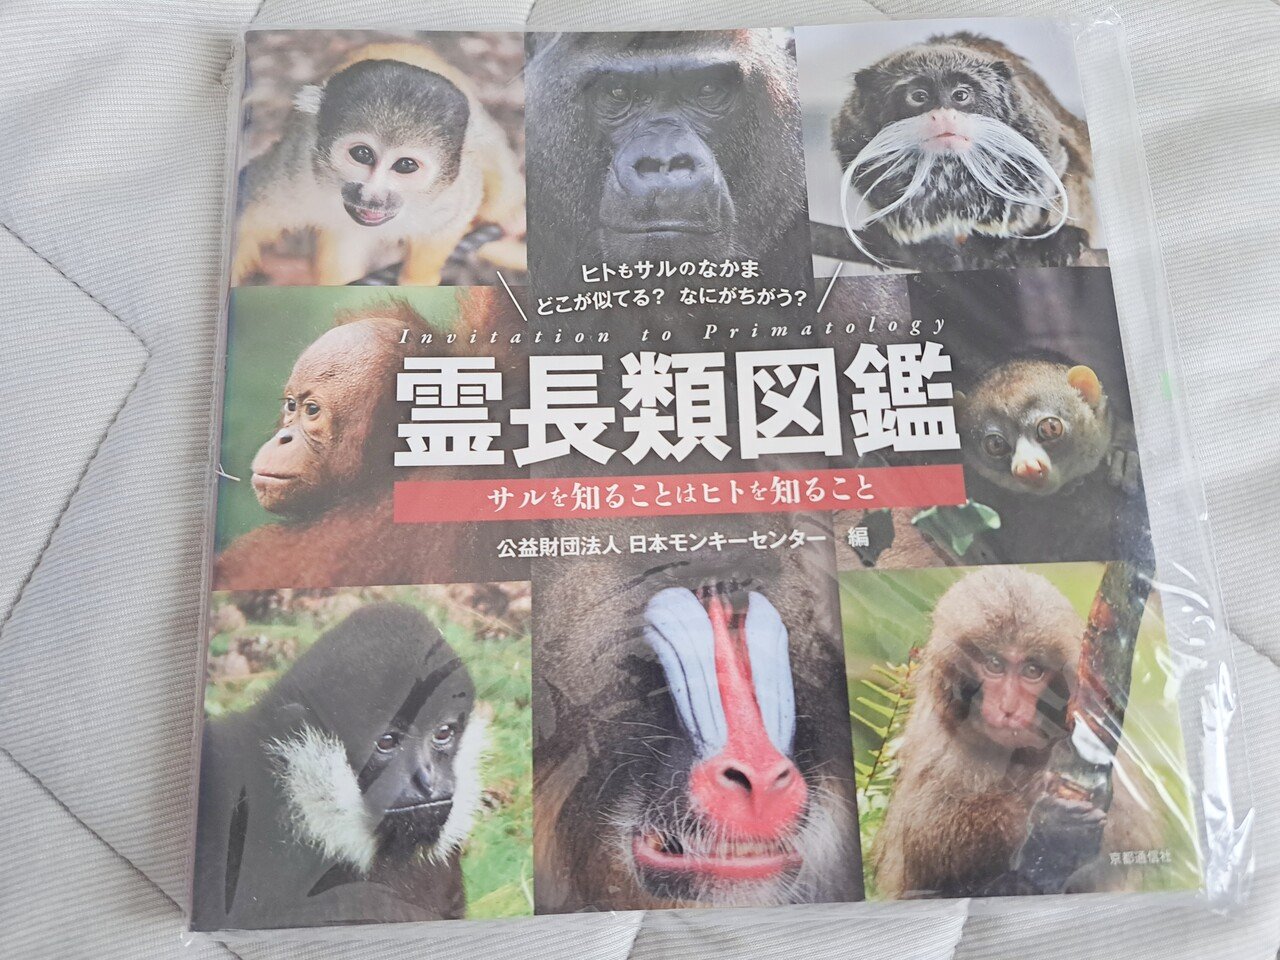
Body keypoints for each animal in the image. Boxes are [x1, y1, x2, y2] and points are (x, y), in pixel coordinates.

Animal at [232, 42, 526, 287]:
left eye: (406, 165)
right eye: (362, 154)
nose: (372, 195)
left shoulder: (453, 193)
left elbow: (450, 223)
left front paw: (418, 278)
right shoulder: (296, 167)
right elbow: (247, 219)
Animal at [830, 32, 1097, 271]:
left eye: (960, 95)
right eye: (918, 96)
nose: (942, 115)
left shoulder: (1029, 127)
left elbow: (1048, 175)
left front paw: (1007, 243)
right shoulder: (853, 132)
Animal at [871, 567, 1162, 899]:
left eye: (1032, 670)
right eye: (995, 664)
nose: (1009, 707)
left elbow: (1130, 831)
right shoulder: (936, 737)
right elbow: (921, 836)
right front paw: (1044, 820)